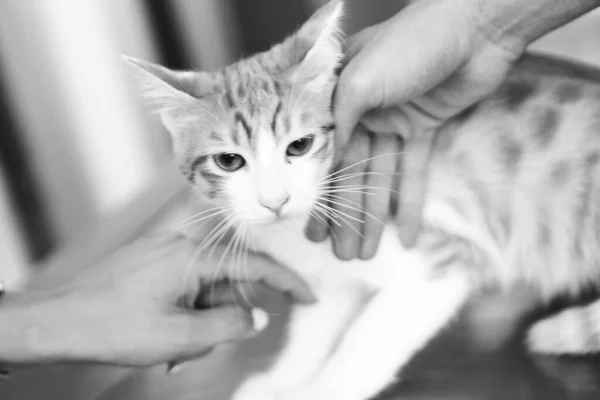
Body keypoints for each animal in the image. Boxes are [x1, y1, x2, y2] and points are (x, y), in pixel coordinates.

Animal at [127, 1, 600, 398]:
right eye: (229, 161)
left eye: (299, 146)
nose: (275, 200)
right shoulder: (332, 280)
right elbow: (312, 332)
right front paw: (280, 381)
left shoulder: (440, 262)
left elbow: (364, 343)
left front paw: (323, 388)